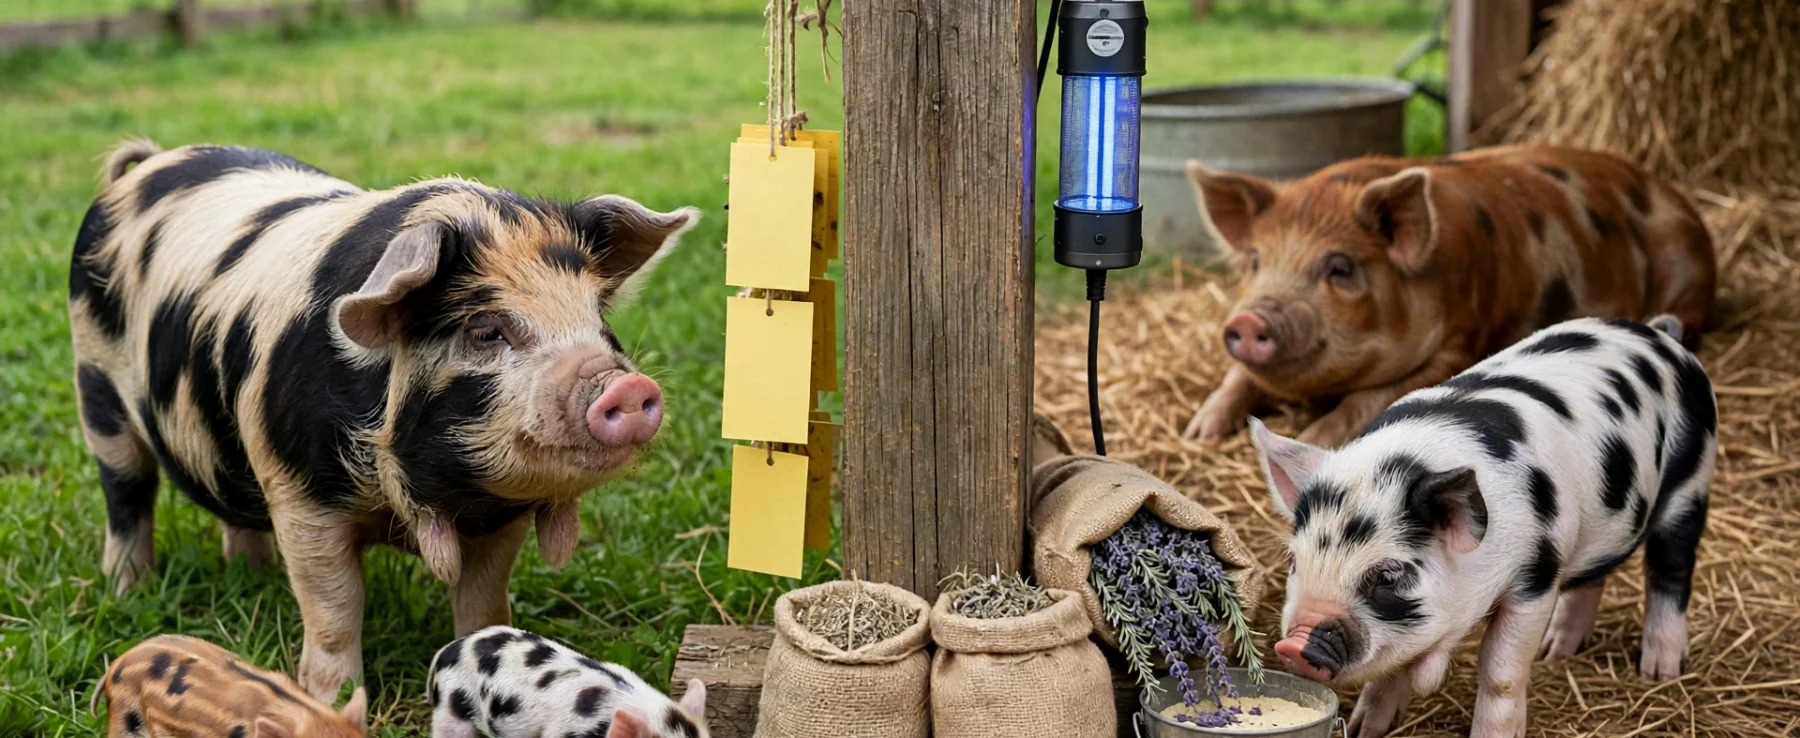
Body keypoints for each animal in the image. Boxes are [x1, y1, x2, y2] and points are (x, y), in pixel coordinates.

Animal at [70, 140, 698, 700]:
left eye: (597, 319)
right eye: (486, 330)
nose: (628, 387)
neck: (424, 498)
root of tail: (147, 164)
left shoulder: (501, 515)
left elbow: (484, 599)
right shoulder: (301, 496)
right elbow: (335, 608)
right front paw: (334, 700)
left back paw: (255, 578)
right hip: (95, 385)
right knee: (128, 494)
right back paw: (130, 591)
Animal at [1180, 145, 1716, 448]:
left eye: (1340, 268)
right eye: (1255, 261)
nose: (1249, 321)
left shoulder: (1459, 342)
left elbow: (1367, 400)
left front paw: (1311, 437)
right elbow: (1237, 378)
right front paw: (1198, 435)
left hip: (1689, 268)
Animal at [1247, 316, 1715, 738]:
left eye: (1389, 575)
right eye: (1294, 561)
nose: (1293, 644)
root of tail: (1660, 336)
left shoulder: (1536, 576)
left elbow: (1501, 673)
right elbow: (1393, 670)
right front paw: (1366, 729)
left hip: (1692, 479)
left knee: (1671, 569)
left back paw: (1660, 670)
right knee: (1593, 577)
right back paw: (1557, 651)